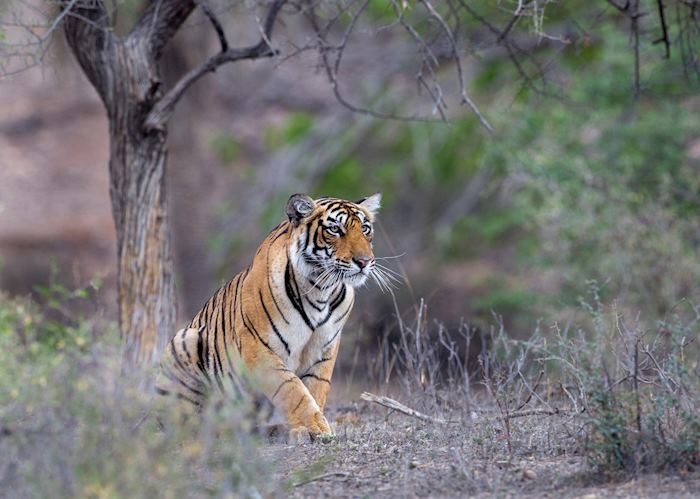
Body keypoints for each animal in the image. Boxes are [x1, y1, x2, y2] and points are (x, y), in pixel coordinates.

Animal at [156, 193, 382, 444]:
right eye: (335, 229)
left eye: (365, 229)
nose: (364, 261)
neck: (321, 289)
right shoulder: (258, 346)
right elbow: (292, 389)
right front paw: (314, 428)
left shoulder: (324, 350)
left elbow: (315, 389)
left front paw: (311, 428)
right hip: (185, 339)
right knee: (185, 426)